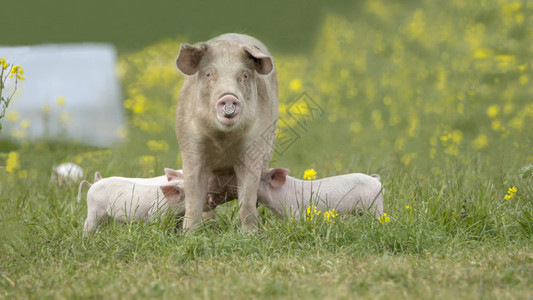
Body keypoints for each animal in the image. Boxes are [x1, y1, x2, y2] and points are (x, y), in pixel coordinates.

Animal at [177, 32, 280, 231]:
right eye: (209, 74)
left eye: (244, 75)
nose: (229, 97)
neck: (222, 140)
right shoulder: (190, 145)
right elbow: (193, 198)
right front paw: (188, 234)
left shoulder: (254, 146)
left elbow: (246, 202)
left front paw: (250, 234)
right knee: (207, 205)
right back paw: (209, 226)